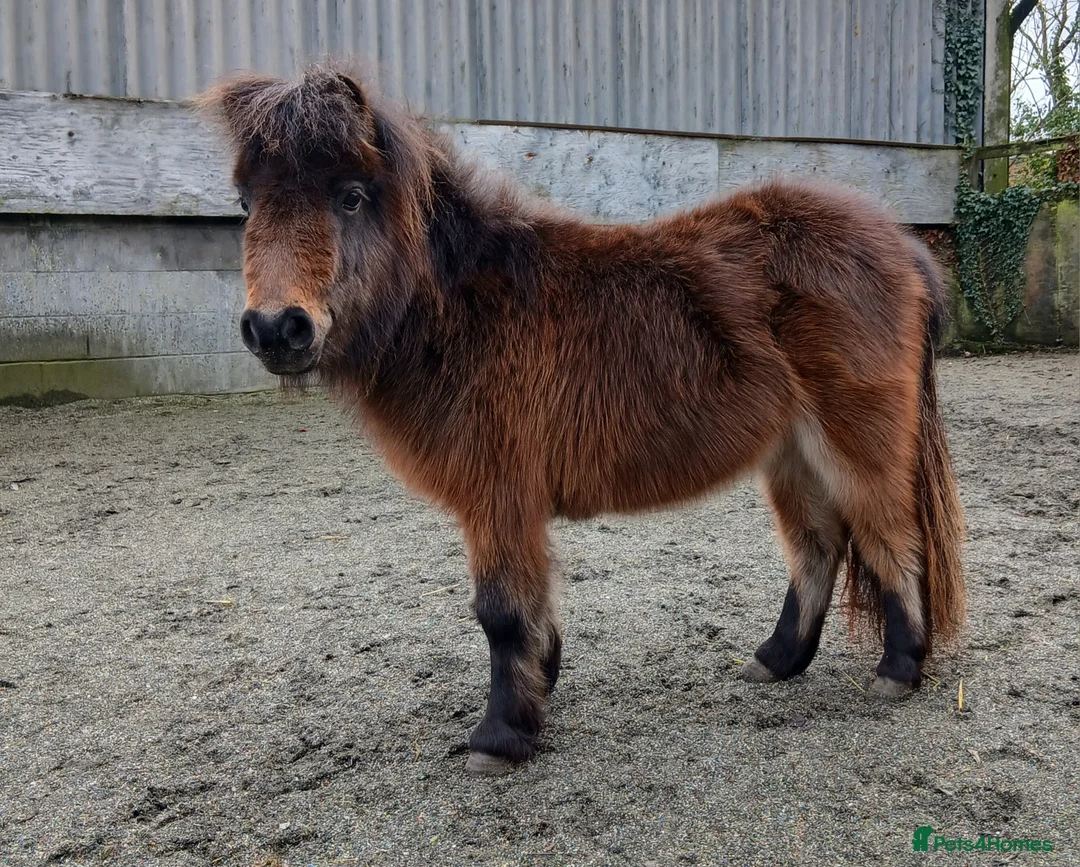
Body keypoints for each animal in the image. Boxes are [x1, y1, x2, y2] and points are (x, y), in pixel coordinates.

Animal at [198, 65, 965, 776]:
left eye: (350, 196)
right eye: (246, 203)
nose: (276, 328)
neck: (463, 309)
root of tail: (902, 243)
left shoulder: (498, 495)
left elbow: (502, 613)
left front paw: (500, 737)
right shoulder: (511, 501)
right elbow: (534, 605)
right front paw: (542, 683)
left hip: (854, 439)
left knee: (892, 538)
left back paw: (898, 669)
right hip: (792, 450)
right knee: (818, 545)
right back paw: (776, 659)